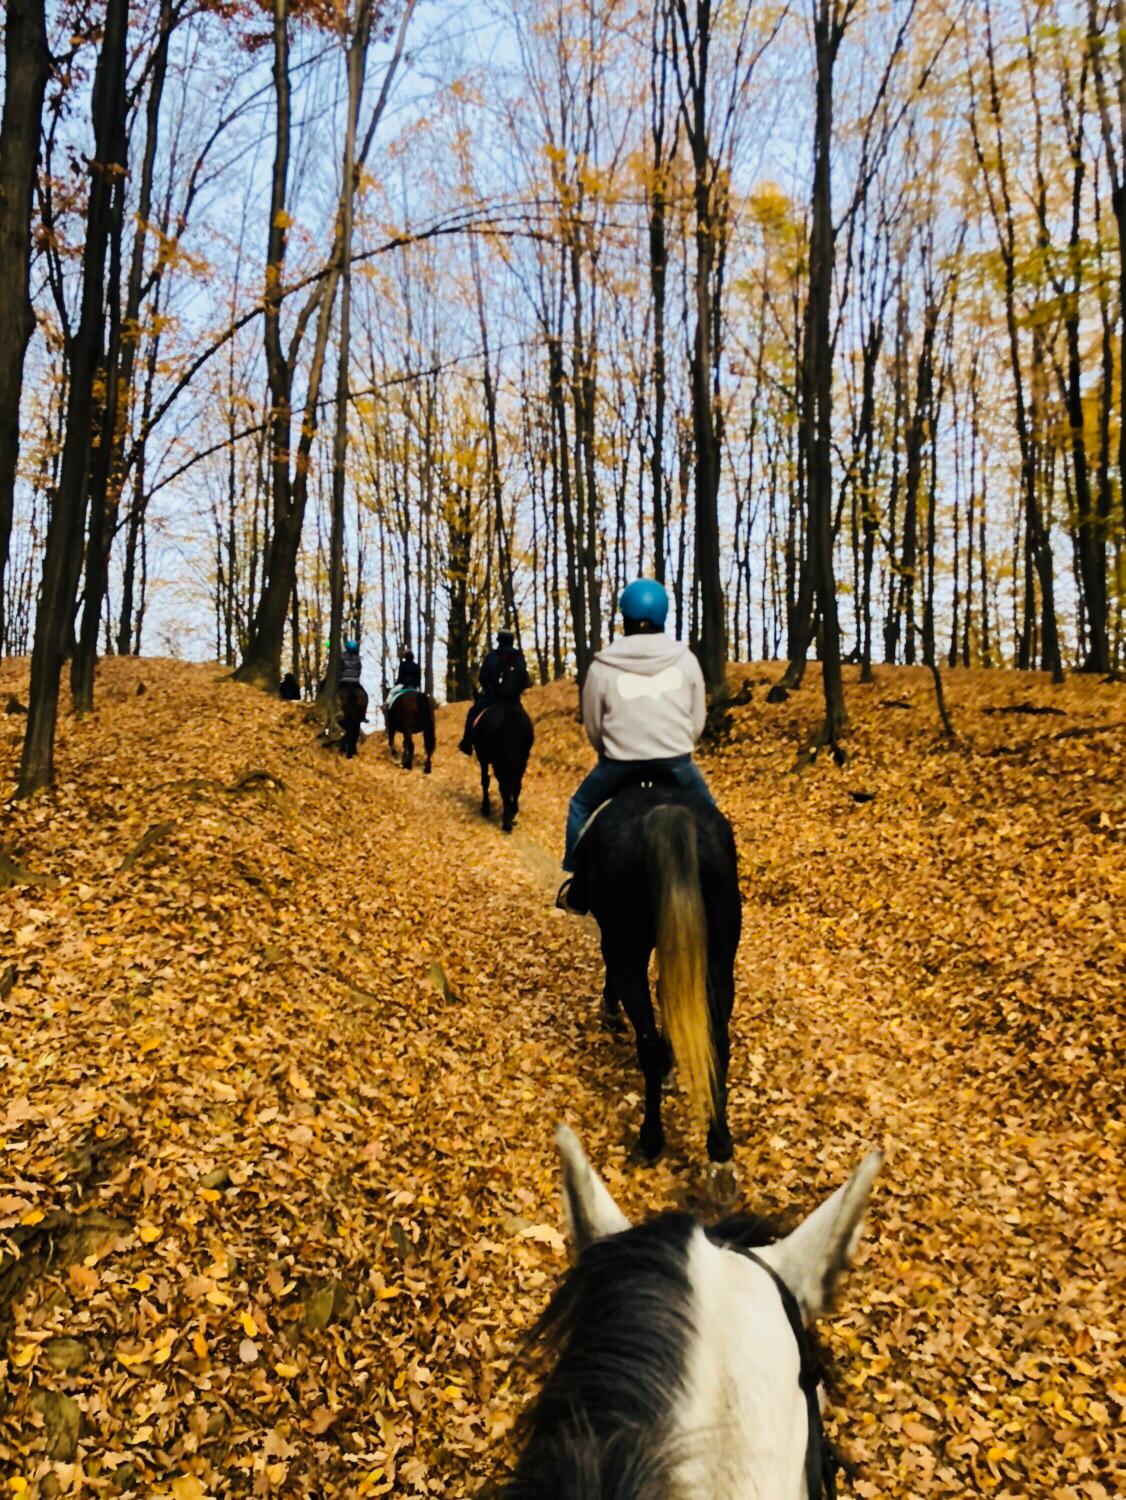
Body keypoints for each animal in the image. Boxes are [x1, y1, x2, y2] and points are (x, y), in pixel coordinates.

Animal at [470, 663, 533, 840]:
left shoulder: (483, 757)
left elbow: (485, 780)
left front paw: (485, 807)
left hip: (498, 761)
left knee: (503, 786)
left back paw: (506, 822)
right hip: (521, 760)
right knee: (516, 785)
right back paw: (512, 812)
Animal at [572, 786, 740, 1170]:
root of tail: (669, 814)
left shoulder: (615, 941)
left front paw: (610, 1011)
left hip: (629, 951)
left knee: (647, 1042)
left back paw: (650, 1139)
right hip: (719, 963)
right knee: (718, 1043)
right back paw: (720, 1143)